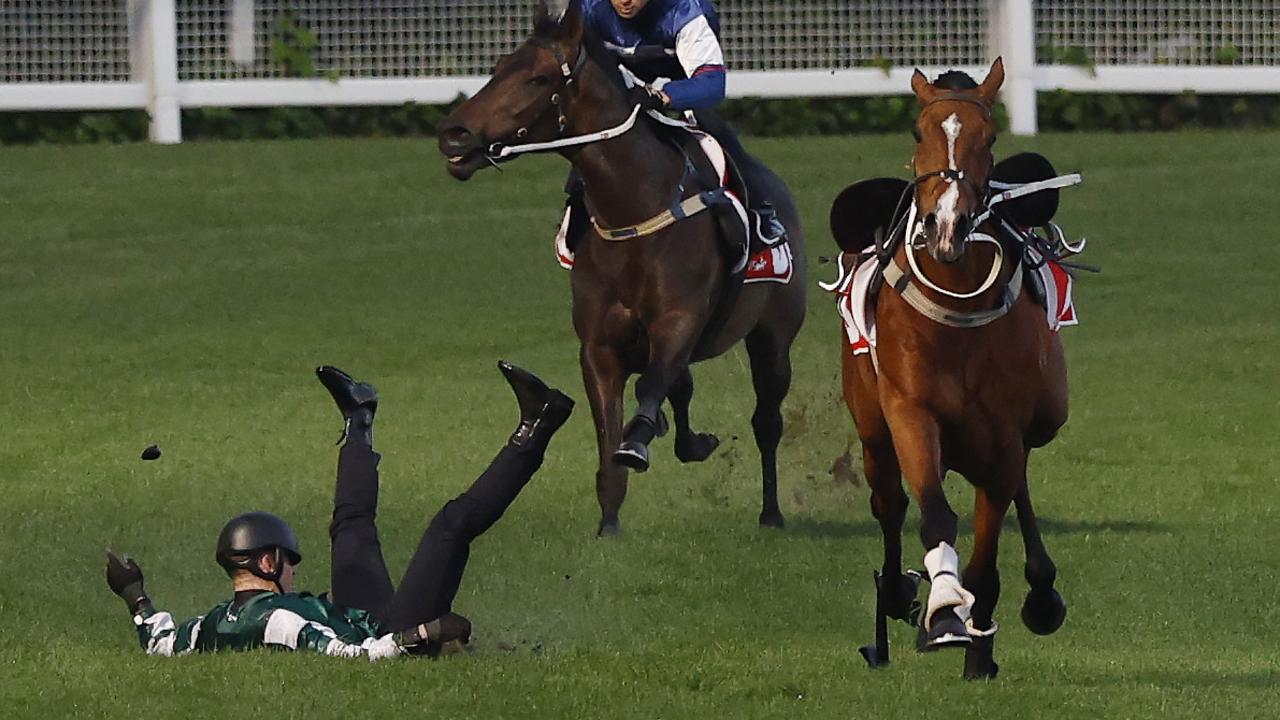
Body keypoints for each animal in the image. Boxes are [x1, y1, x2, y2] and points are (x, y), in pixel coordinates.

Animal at [435, 2, 803, 535]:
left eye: (538, 77)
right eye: (501, 65)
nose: (454, 134)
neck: (633, 215)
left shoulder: (679, 321)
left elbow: (651, 388)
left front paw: (638, 442)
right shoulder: (600, 346)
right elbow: (610, 433)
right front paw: (609, 524)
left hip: (773, 338)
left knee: (766, 421)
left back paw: (771, 511)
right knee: (683, 387)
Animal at [839, 58, 1070, 676]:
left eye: (989, 138)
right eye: (918, 132)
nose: (947, 223)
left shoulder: (1006, 433)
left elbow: (988, 552)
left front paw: (980, 645)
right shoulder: (911, 411)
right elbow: (933, 514)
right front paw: (943, 610)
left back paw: (1040, 592)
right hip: (872, 427)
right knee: (889, 501)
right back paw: (897, 592)